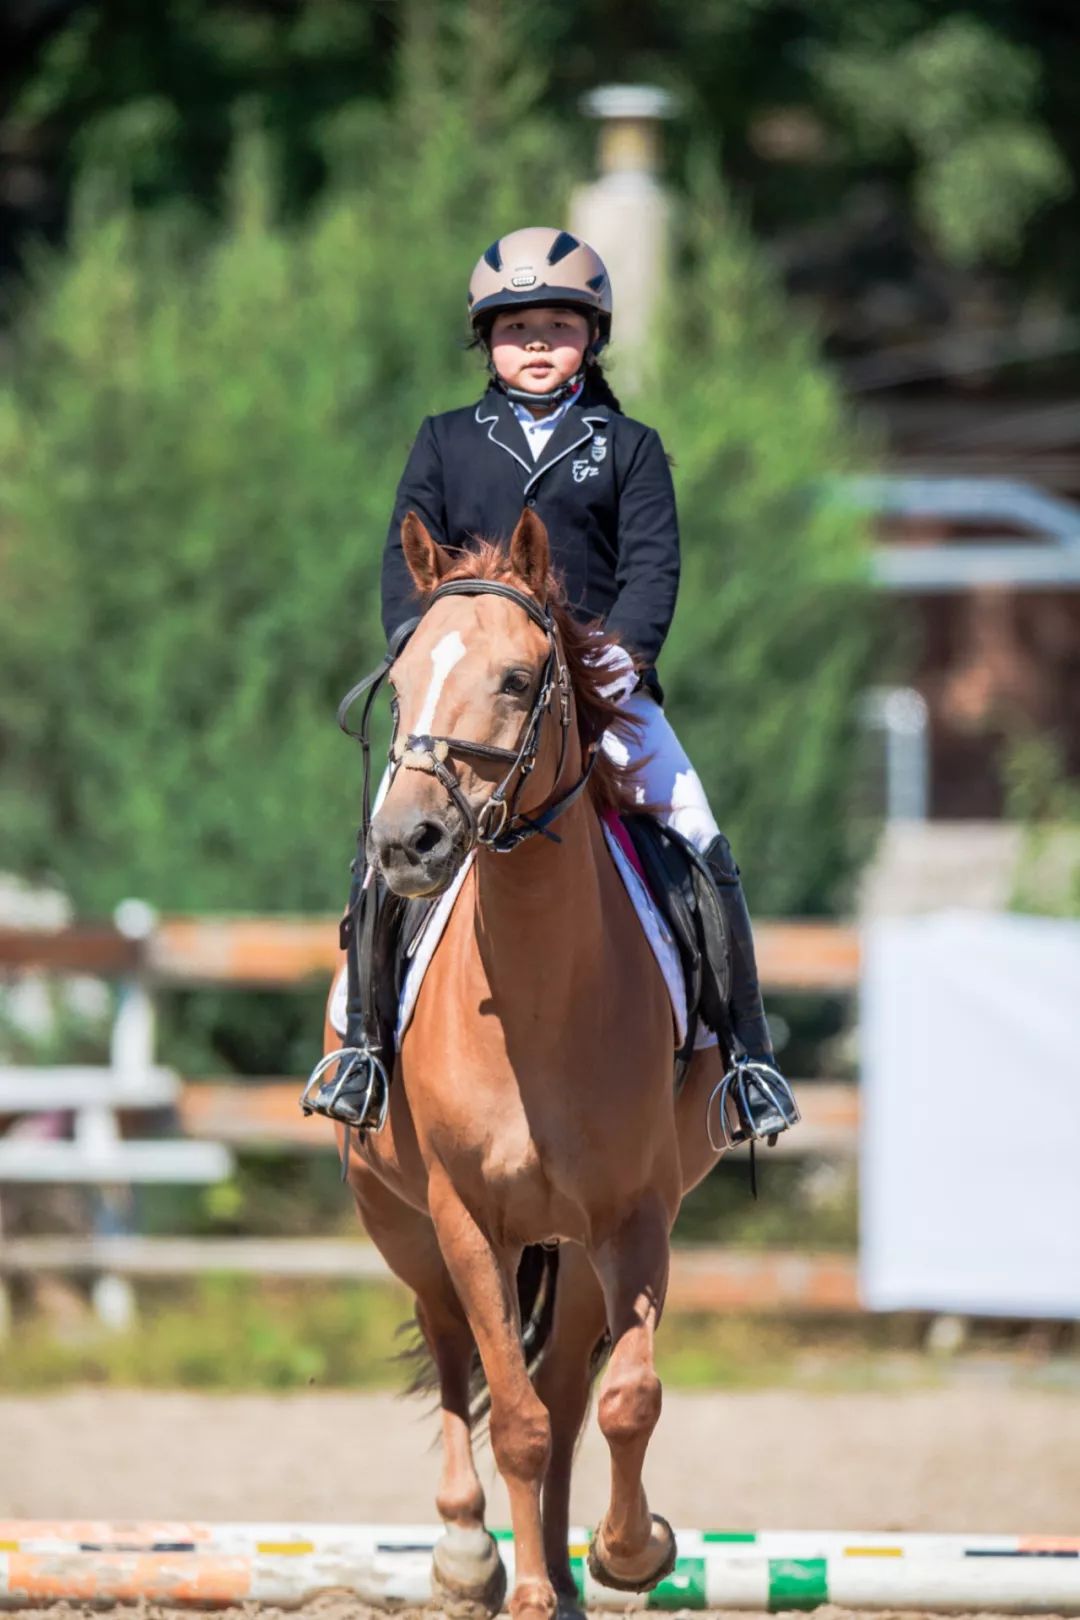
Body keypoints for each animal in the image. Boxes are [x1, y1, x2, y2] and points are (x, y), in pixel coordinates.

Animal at [320, 508, 725, 1620]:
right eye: (402, 682)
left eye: (514, 679)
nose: (408, 842)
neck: (542, 996)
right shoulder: (467, 1219)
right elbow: (512, 1418)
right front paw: (526, 1590)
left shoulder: (636, 1217)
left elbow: (626, 1398)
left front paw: (630, 1553)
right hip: (406, 1229)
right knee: (461, 1359)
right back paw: (471, 1556)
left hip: (576, 1249)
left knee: (569, 1388)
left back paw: (569, 1569)